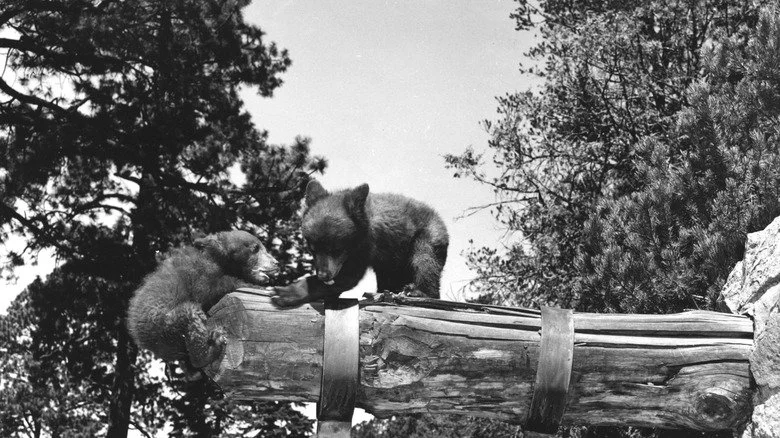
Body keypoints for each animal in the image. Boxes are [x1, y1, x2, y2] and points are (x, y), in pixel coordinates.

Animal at [127, 230, 279, 372]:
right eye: (256, 248)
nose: (276, 262)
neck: (218, 259)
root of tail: (139, 336)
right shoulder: (198, 272)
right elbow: (210, 289)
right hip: (162, 321)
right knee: (192, 315)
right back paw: (210, 348)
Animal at [272, 180, 448, 307]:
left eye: (336, 249)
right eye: (312, 249)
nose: (323, 275)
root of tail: (440, 218)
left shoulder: (365, 247)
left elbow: (348, 277)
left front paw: (286, 293)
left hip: (427, 237)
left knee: (425, 262)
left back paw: (417, 291)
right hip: (391, 265)